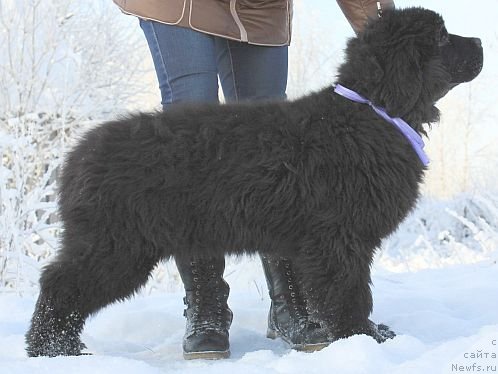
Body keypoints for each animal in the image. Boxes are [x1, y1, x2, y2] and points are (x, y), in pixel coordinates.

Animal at [26, 6, 482, 356]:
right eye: (442, 38)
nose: (479, 42)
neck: (371, 111)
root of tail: (78, 154)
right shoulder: (338, 240)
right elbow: (350, 293)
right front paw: (363, 338)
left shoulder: (321, 242)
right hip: (116, 244)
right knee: (59, 285)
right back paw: (54, 348)